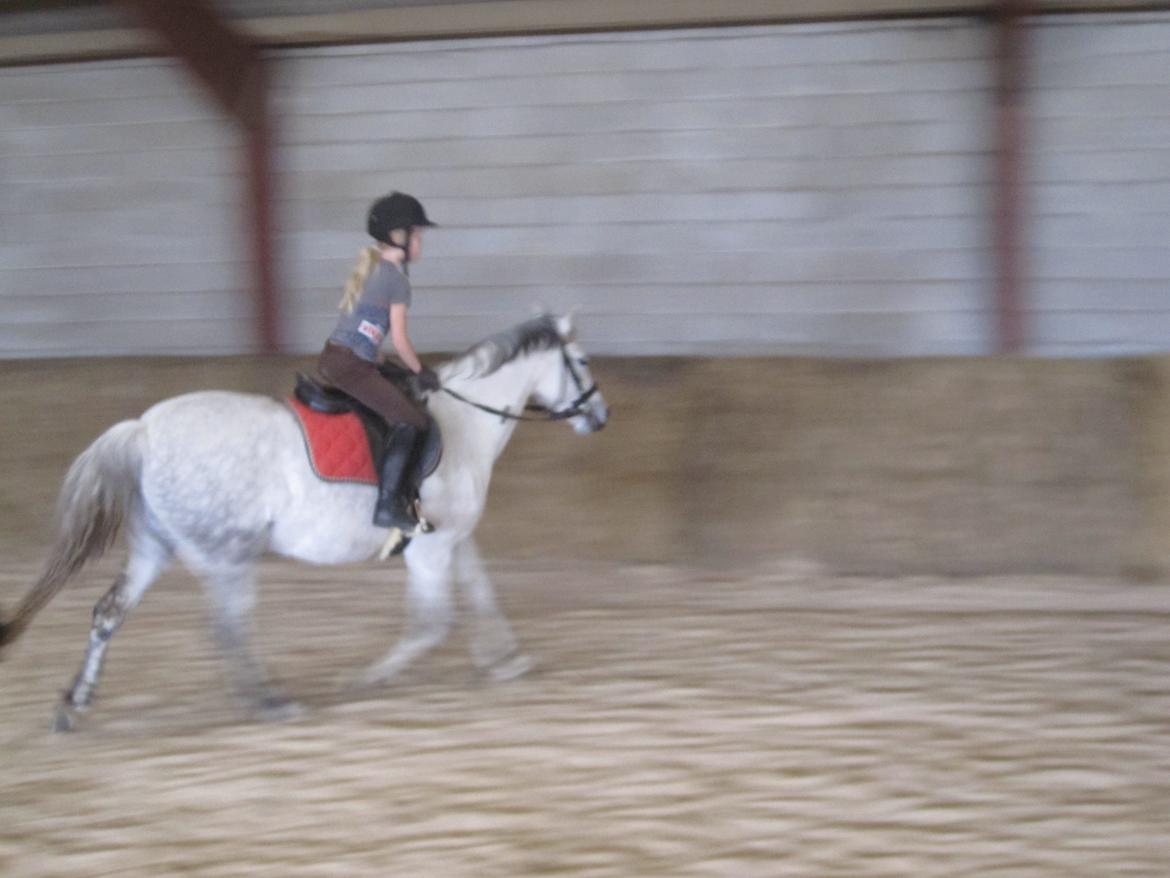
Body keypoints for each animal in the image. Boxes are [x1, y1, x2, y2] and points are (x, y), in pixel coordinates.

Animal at [0, 313, 608, 731]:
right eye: (580, 361)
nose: (600, 417)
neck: (464, 421)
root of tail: (144, 430)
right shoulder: (430, 550)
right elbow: (430, 624)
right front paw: (364, 679)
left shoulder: (452, 539)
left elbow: (482, 595)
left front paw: (506, 661)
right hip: (228, 554)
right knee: (227, 626)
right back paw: (271, 701)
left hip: (156, 546)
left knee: (109, 613)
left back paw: (74, 705)